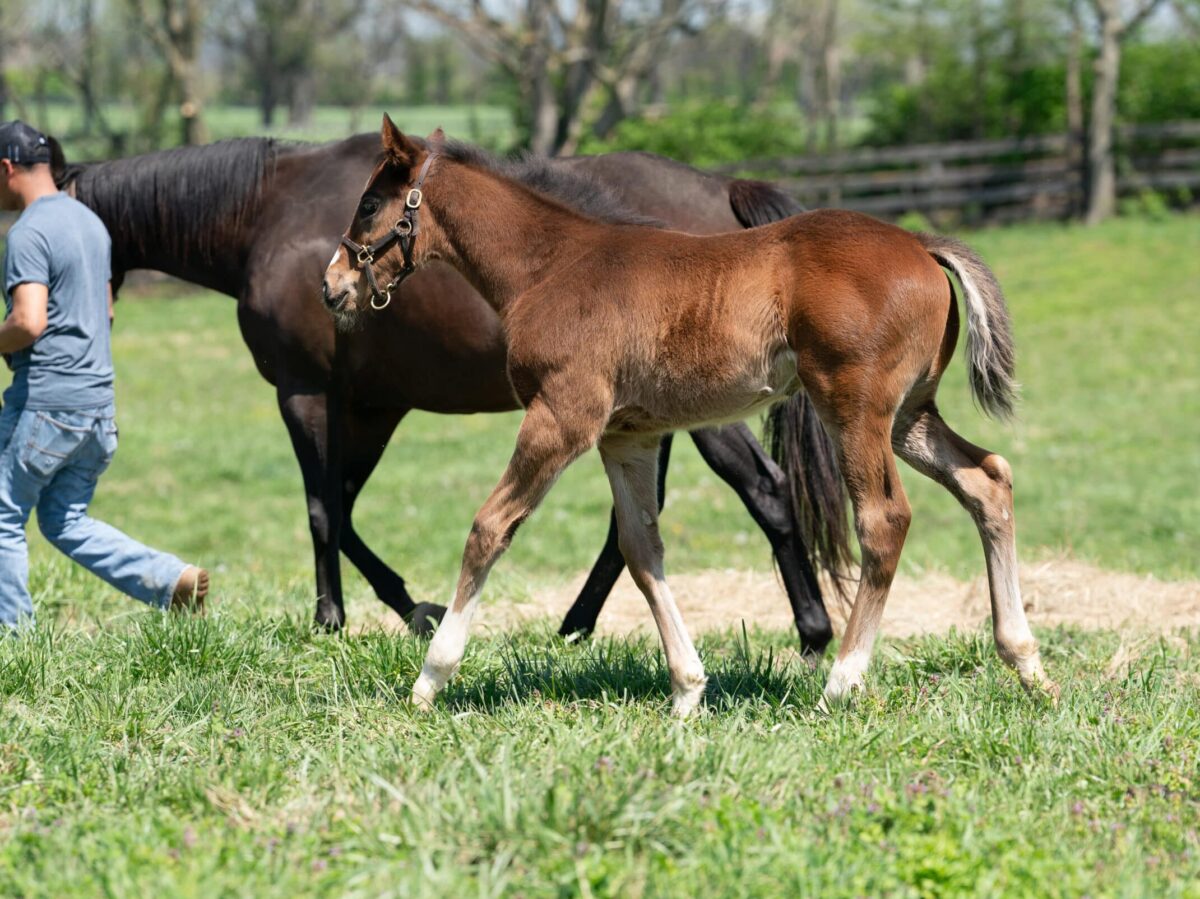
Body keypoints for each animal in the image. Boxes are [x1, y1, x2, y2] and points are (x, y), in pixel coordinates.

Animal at [321, 119, 1060, 710]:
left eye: (368, 203)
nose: (332, 286)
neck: (550, 266)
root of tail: (920, 245)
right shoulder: (625, 436)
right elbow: (641, 549)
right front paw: (687, 690)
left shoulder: (563, 416)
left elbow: (489, 528)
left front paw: (429, 679)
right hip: (909, 414)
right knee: (988, 479)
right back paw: (1028, 665)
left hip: (854, 407)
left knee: (885, 518)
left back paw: (841, 681)